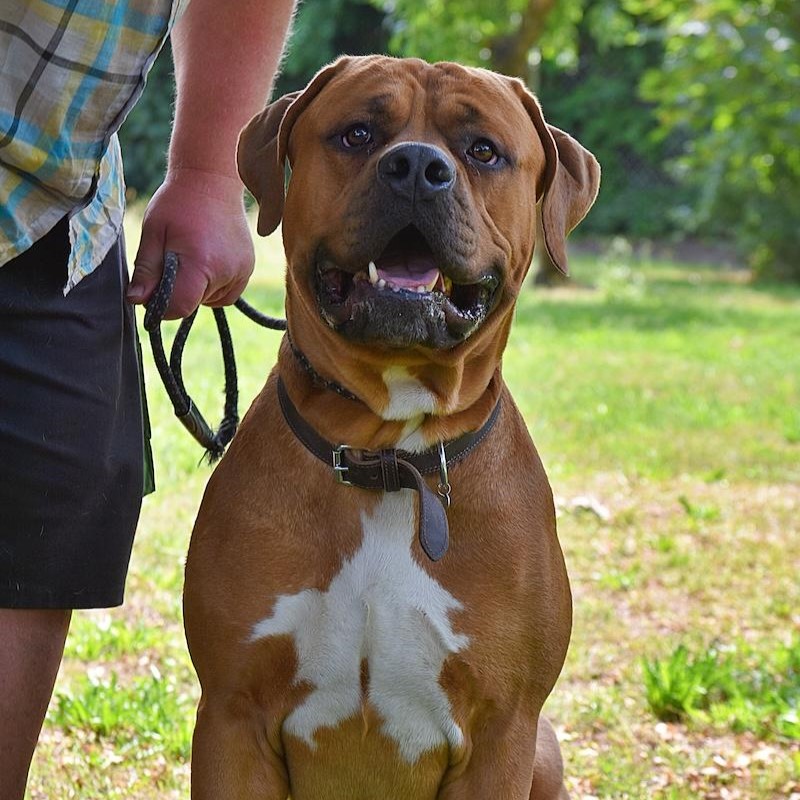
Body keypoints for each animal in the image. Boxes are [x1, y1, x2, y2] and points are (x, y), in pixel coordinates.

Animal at [183, 55, 600, 799]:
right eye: (357, 134)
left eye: (482, 151)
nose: (415, 167)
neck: (389, 459)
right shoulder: (233, 717)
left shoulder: (503, 731)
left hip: (546, 749)